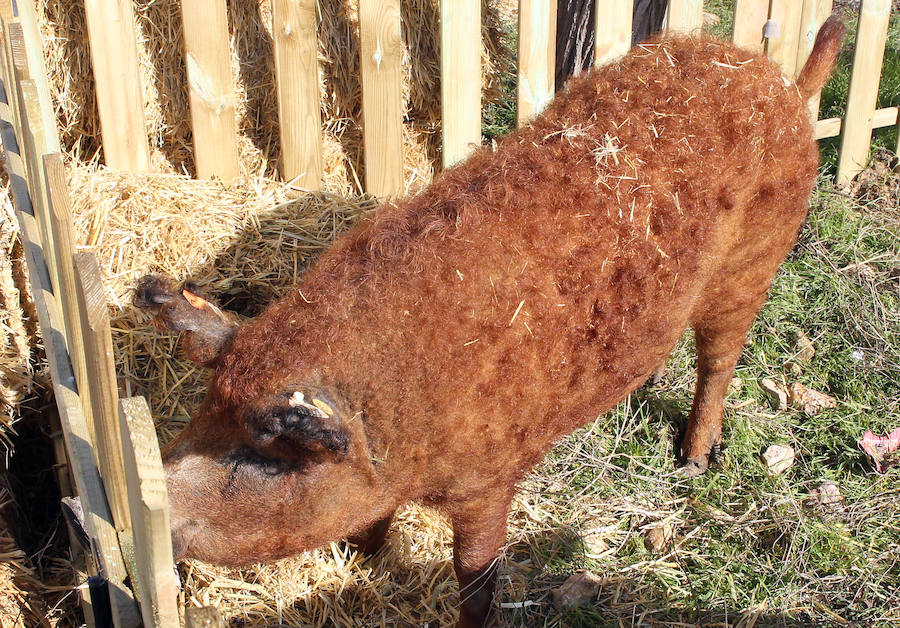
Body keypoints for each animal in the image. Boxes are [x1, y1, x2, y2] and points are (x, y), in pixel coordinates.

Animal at [134, 19, 844, 628]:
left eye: (261, 454)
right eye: (205, 407)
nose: (148, 511)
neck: (392, 415)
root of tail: (779, 81)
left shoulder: (488, 477)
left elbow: (475, 575)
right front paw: (362, 555)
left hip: (750, 267)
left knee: (718, 361)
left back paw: (693, 462)